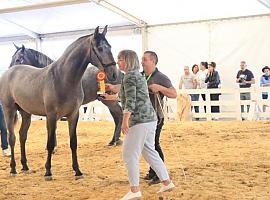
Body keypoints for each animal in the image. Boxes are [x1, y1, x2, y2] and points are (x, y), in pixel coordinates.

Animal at [0, 26, 118, 180]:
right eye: (99, 48)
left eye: (109, 46)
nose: (114, 73)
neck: (62, 78)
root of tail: (8, 73)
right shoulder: (51, 115)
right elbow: (50, 143)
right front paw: (48, 171)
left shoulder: (73, 115)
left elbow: (73, 142)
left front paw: (77, 171)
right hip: (9, 110)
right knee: (12, 137)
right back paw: (13, 169)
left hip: (26, 113)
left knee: (22, 136)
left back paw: (25, 166)